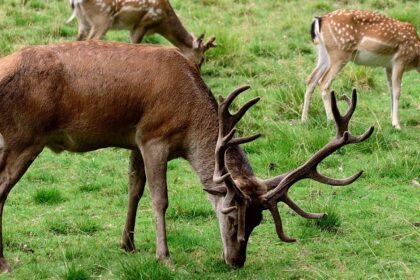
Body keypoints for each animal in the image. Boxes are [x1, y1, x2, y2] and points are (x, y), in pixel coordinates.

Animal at [0, 40, 374, 272]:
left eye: (258, 221)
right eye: (231, 216)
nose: (236, 261)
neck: (190, 120)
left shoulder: (135, 139)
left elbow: (134, 189)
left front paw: (128, 244)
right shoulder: (154, 137)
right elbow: (159, 198)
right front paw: (164, 256)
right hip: (25, 137)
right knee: (3, 188)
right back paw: (5, 262)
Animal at [66, 0, 217, 68]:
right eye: (202, 60)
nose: (197, 73)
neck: (162, 23)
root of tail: (75, 1)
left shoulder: (134, 27)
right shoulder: (143, 24)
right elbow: (135, 45)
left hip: (83, 21)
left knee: (78, 40)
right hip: (103, 19)